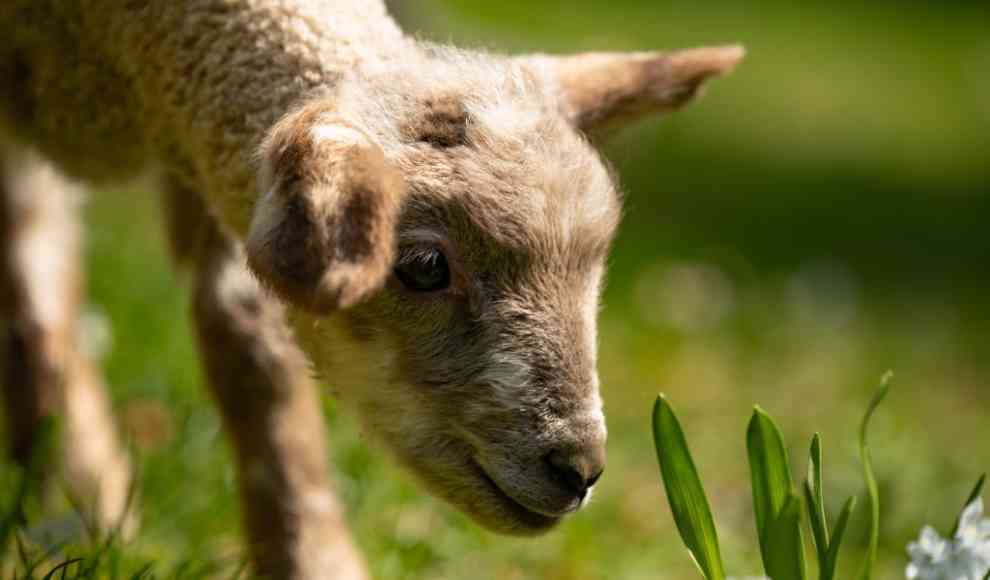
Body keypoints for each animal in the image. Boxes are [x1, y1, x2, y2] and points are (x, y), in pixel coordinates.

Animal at [0, 2, 744, 576]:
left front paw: (309, 559)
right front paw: (71, 511)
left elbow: (251, 353)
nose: (579, 468)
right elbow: (33, 302)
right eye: (424, 265)